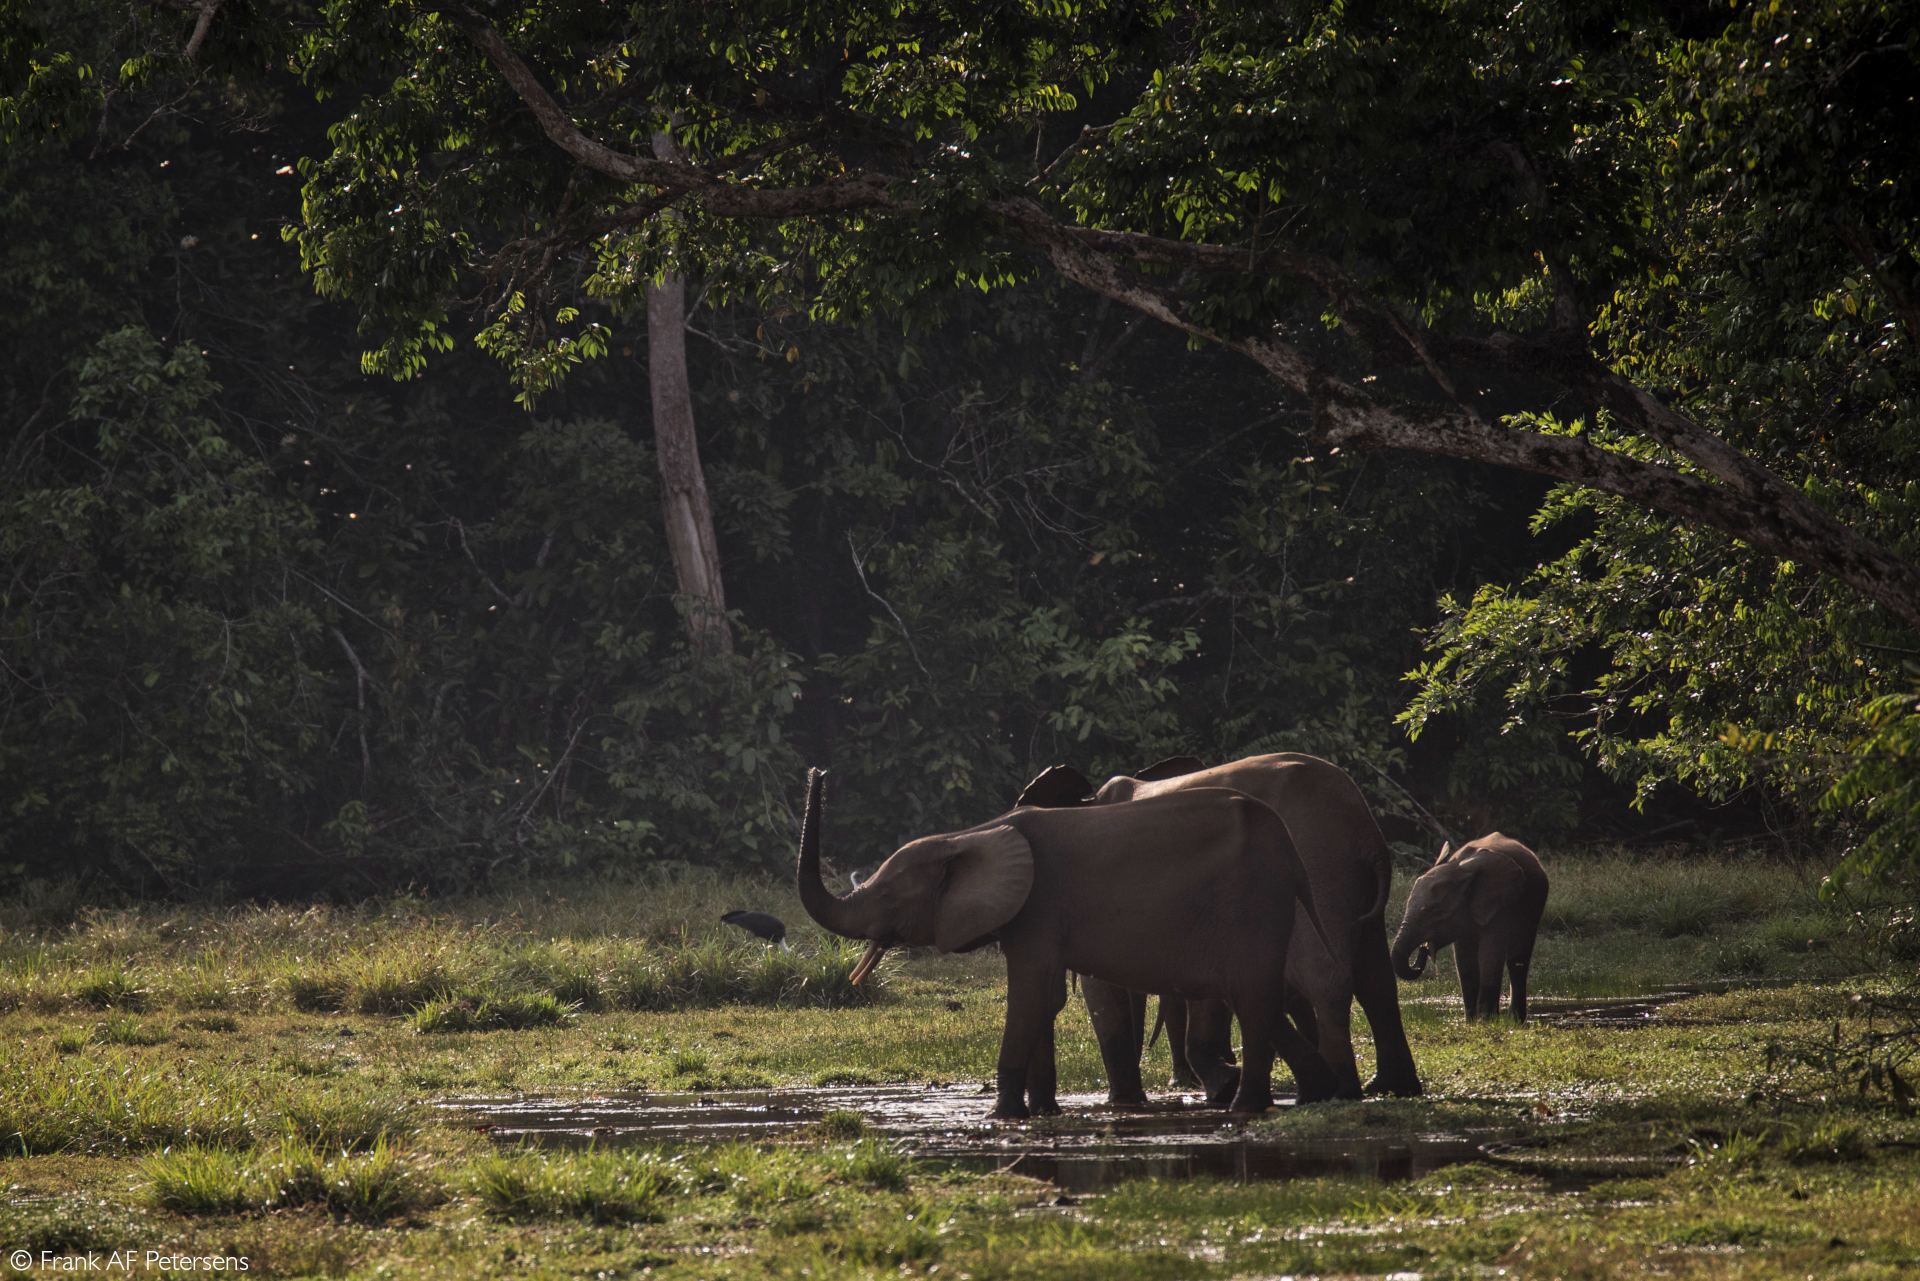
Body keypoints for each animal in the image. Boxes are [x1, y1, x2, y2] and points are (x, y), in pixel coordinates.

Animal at [791, 768, 1336, 1113]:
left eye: (886, 895)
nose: (819, 771)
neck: (969, 836)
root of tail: (1289, 848)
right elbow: (1044, 1000)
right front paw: (1043, 1114)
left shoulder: (1038, 908)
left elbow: (1031, 997)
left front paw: (1002, 1117)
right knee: (1254, 999)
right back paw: (1314, 1094)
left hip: (1251, 901)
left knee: (1251, 996)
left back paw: (1247, 1108)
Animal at [1021, 752, 1428, 1106]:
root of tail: (1365, 830)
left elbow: (1105, 990)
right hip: (1351, 880)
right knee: (1376, 979)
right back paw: (1392, 1087)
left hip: (1317, 864)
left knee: (1327, 975)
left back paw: (1341, 1090)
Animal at [1390, 837, 1551, 1029]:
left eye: (1435, 910)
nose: (1424, 948)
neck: (1460, 870)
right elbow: (1464, 960)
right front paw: (1471, 1022)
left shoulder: (1500, 905)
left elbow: (1490, 955)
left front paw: (1486, 1021)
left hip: (1534, 905)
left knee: (1518, 959)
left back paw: (1515, 1020)